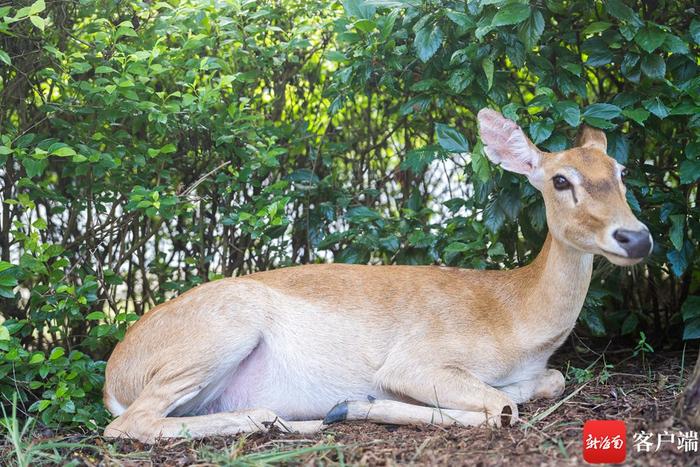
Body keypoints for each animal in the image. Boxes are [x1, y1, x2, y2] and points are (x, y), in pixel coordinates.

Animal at [102, 109, 652, 442]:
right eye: (560, 179)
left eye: (621, 172)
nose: (636, 238)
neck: (514, 316)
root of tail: (113, 374)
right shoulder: (416, 359)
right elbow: (499, 408)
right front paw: (356, 405)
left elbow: (549, 382)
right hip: (219, 331)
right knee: (129, 424)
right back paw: (287, 417)